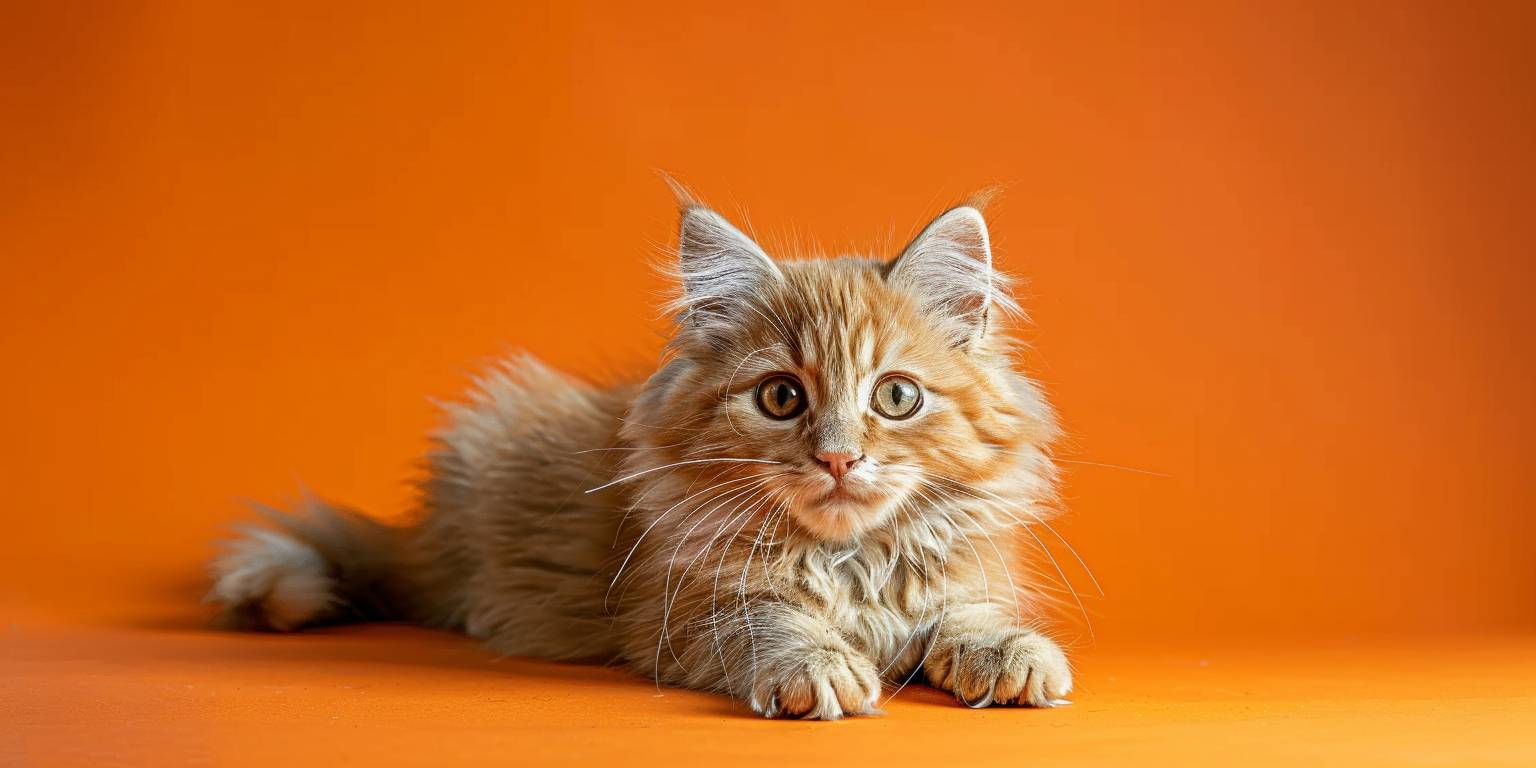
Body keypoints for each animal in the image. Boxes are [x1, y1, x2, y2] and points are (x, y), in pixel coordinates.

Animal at [210, 188, 1075, 715]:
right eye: (781, 398)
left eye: (896, 397)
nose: (837, 459)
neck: (848, 560)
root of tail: (420, 530)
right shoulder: (686, 607)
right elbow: (775, 623)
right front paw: (820, 666)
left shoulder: (963, 574)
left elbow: (969, 613)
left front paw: (1011, 655)